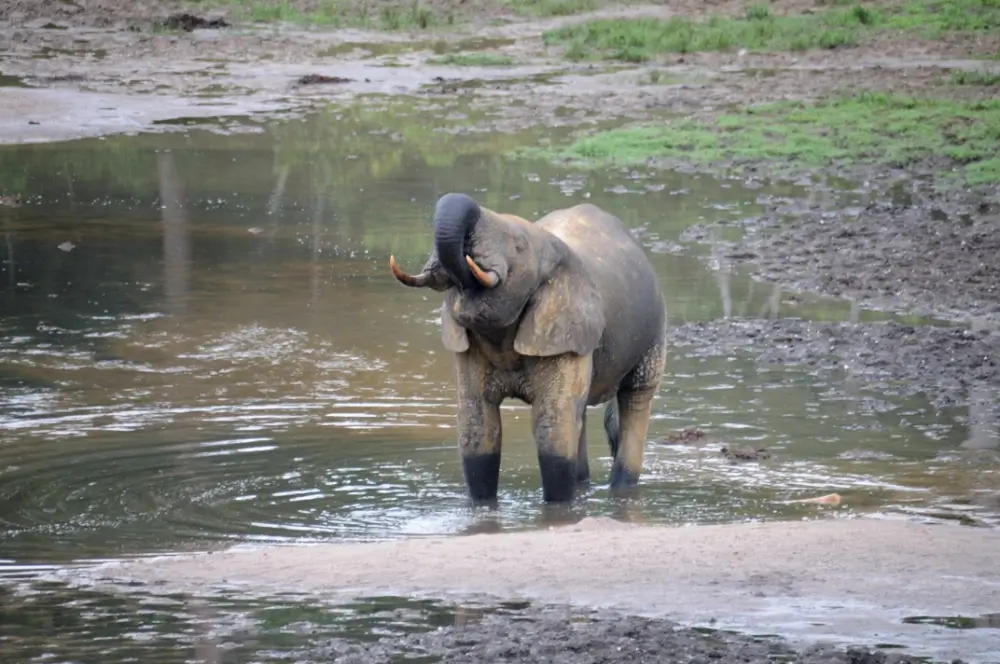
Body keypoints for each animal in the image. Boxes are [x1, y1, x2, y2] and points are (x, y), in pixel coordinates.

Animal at [389, 192, 668, 503]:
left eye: (519, 246)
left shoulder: (563, 331)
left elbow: (552, 428)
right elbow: (477, 424)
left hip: (654, 333)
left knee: (635, 397)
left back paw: (621, 487)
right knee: (579, 412)